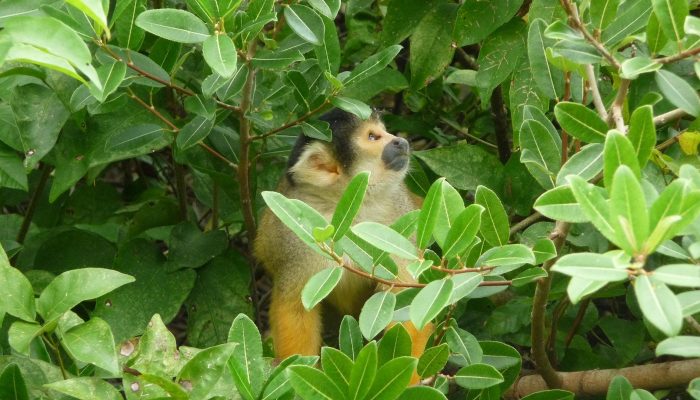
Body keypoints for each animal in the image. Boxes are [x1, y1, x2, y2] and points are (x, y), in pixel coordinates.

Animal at [256, 109, 432, 366]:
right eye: (372, 137)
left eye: (384, 131)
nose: (399, 141)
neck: (348, 207)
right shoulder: (294, 238)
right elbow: (295, 307)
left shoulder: (397, 220)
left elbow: (408, 299)